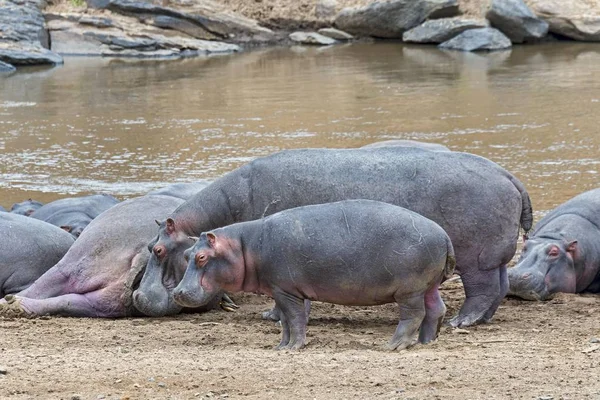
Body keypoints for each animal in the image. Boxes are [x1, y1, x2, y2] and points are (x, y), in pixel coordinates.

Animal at [134, 148, 532, 326]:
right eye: (147, 247)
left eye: (159, 249)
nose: (137, 297)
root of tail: (510, 176)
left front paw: (272, 316)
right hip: (492, 256)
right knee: (498, 288)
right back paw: (478, 321)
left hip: (475, 257)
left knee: (481, 291)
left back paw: (460, 322)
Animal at [173, 200, 454, 350]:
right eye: (186, 254)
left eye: (202, 257)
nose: (177, 292)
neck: (244, 246)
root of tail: (444, 235)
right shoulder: (279, 290)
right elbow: (286, 321)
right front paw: (282, 346)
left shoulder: (287, 291)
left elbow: (295, 318)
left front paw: (294, 347)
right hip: (428, 286)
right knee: (436, 309)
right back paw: (426, 342)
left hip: (410, 289)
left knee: (414, 314)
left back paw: (394, 345)